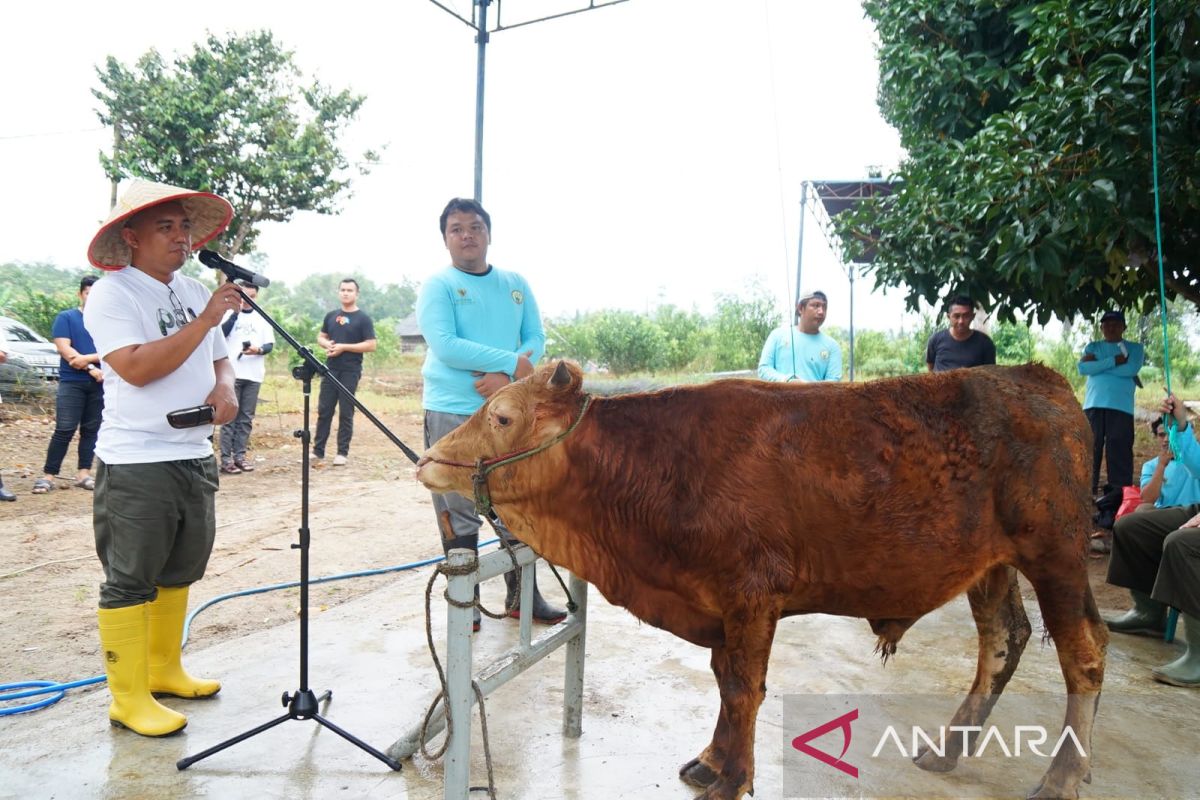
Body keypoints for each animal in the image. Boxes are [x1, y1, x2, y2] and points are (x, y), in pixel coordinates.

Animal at [417, 362, 1108, 800]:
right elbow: (727, 683)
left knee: (1086, 657)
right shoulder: (722, 608)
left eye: (502, 417)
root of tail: (1034, 376)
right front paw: (712, 761)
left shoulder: (751, 594)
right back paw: (946, 749)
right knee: (1003, 643)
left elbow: (745, 689)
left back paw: (1061, 779)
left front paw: (733, 779)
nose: (426, 459)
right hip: (991, 567)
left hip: (1057, 557)